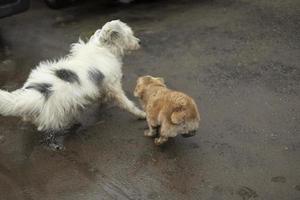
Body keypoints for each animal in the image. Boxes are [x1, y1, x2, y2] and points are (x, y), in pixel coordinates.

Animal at [0, 19, 145, 149]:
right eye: (129, 35)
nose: (139, 41)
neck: (104, 48)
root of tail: (36, 94)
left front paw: (102, 100)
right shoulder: (113, 85)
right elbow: (126, 103)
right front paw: (140, 114)